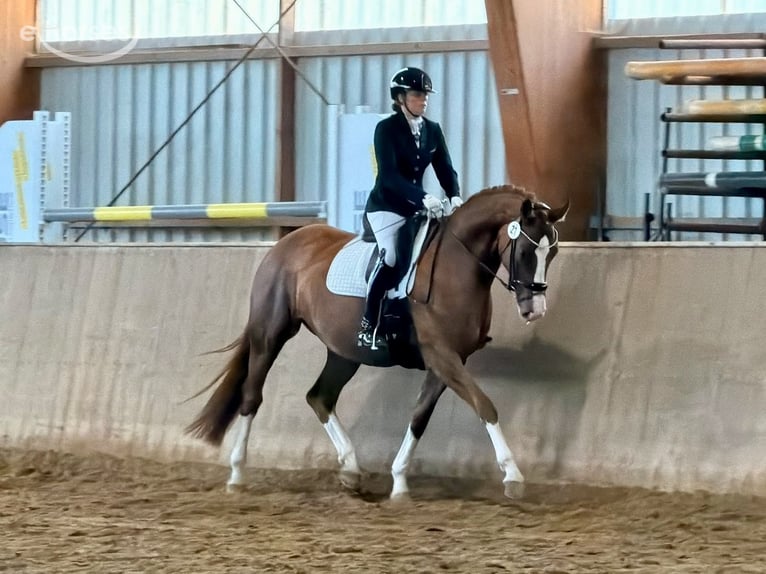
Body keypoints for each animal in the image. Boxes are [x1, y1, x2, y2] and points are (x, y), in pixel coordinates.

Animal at [186, 184, 568, 500]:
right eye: (525, 252)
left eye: (552, 254)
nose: (535, 309)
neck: (456, 267)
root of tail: (286, 243)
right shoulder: (442, 355)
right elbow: (485, 405)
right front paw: (513, 475)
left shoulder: (447, 361)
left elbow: (419, 417)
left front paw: (399, 482)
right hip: (271, 333)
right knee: (252, 395)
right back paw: (237, 474)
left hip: (344, 352)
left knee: (319, 397)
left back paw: (351, 470)